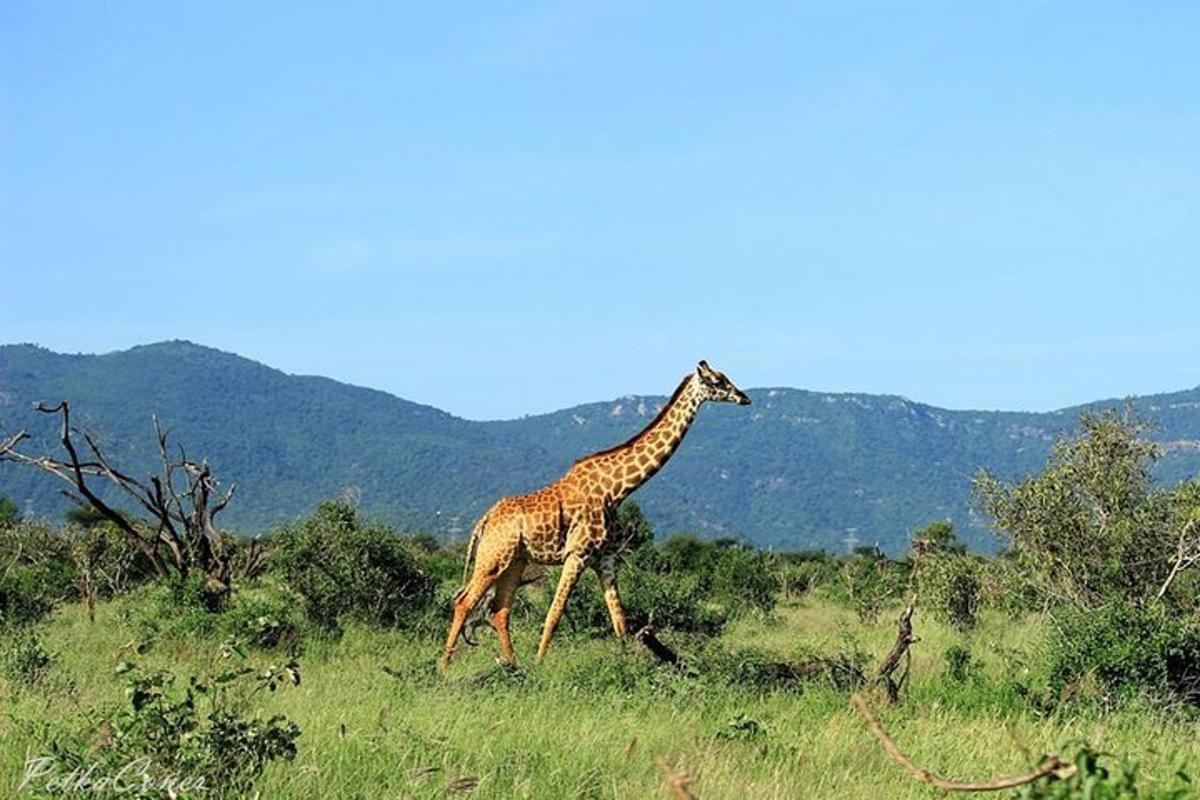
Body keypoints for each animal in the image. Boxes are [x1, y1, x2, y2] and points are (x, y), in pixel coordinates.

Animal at [441, 359, 748, 666]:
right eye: (717, 381)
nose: (745, 398)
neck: (617, 490)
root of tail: (485, 520)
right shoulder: (577, 553)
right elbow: (554, 613)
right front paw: (541, 664)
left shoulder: (607, 558)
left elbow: (619, 620)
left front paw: (625, 662)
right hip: (492, 558)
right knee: (463, 601)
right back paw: (444, 666)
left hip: (514, 562)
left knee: (499, 610)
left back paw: (514, 665)